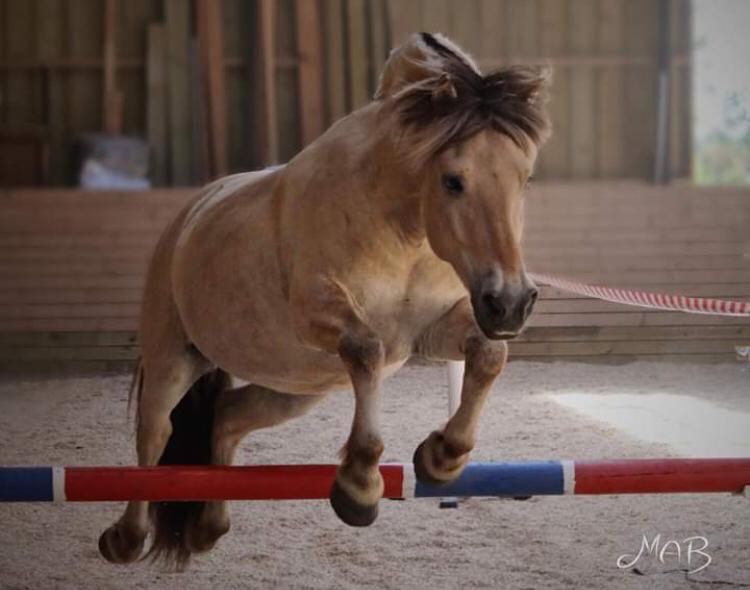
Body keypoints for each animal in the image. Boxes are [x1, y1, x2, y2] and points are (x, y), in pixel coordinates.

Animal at [100, 32, 548, 568]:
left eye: (524, 178)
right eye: (453, 181)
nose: (511, 302)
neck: (401, 234)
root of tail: (187, 218)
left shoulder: (431, 332)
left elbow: (489, 354)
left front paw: (441, 457)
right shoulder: (320, 315)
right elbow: (366, 350)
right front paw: (358, 487)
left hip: (296, 387)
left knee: (226, 418)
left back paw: (208, 527)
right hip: (176, 359)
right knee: (155, 434)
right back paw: (125, 538)